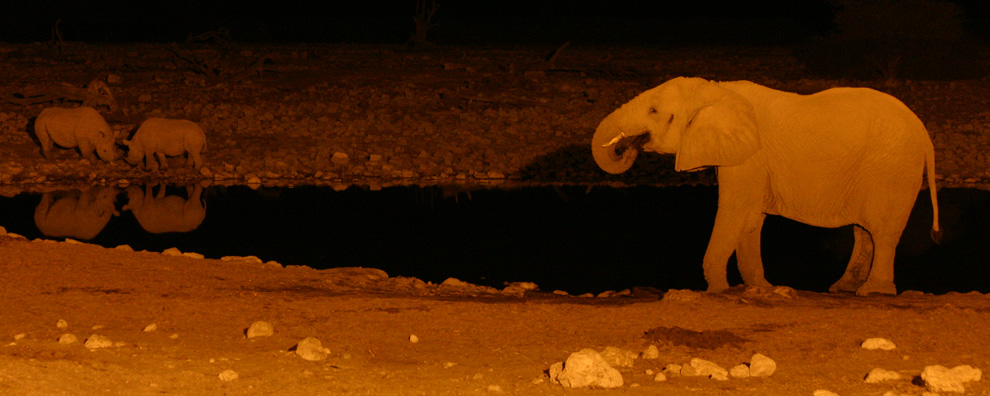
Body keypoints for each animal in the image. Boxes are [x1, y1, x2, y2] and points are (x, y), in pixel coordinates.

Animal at [592, 76, 940, 296]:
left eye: (653, 111)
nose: (627, 146)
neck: (716, 91)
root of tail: (924, 133)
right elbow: (750, 219)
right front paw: (760, 288)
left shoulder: (749, 158)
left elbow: (733, 211)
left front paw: (718, 289)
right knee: (864, 231)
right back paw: (845, 289)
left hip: (892, 168)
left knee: (882, 231)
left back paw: (872, 292)